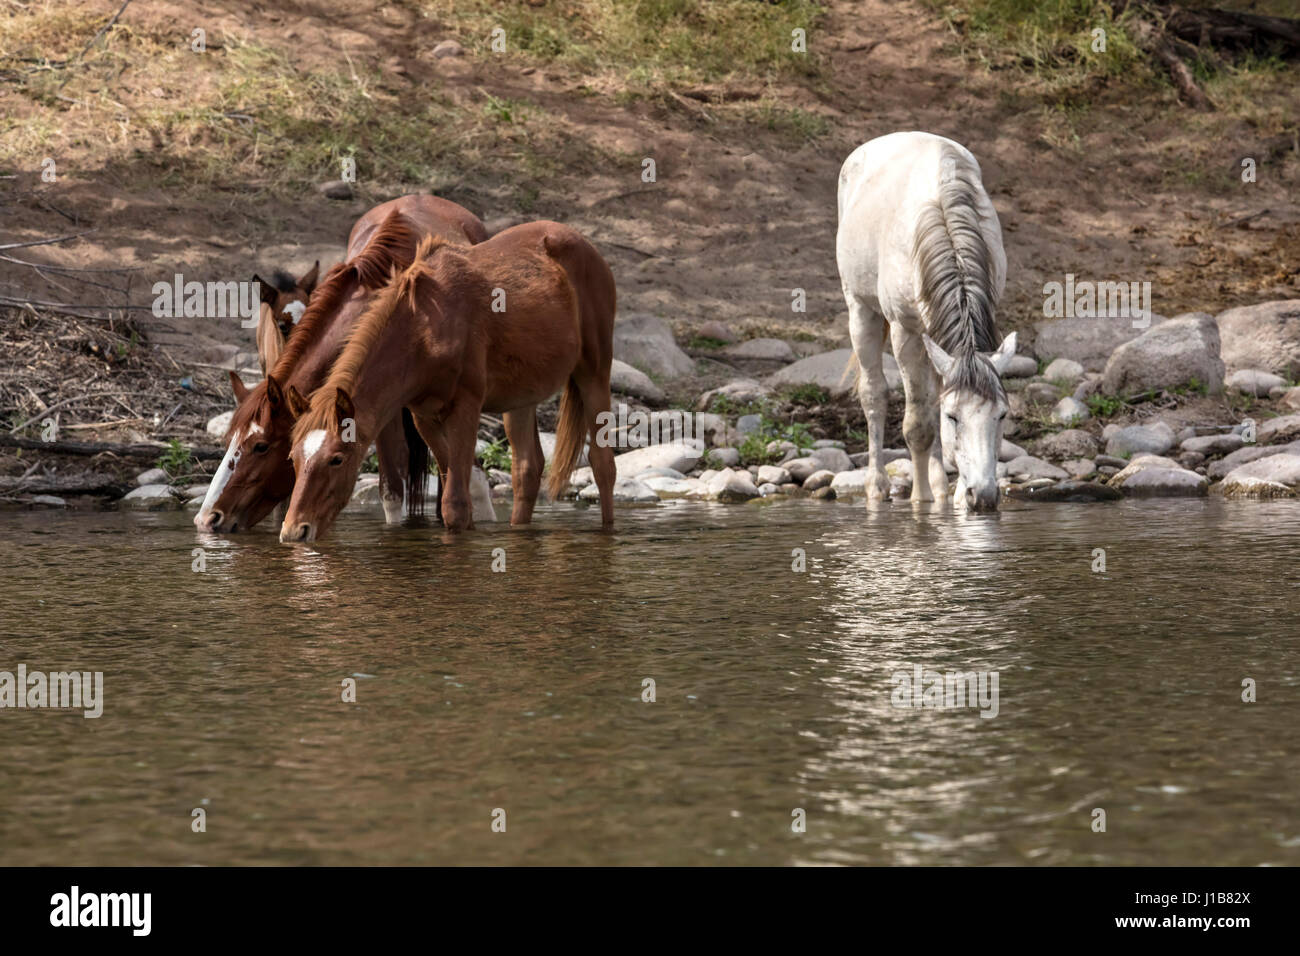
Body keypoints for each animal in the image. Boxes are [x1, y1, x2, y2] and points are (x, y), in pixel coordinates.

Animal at [282, 219, 616, 541]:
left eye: (336, 459)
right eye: (292, 458)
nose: (295, 531)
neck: (425, 328)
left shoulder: (466, 406)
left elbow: (454, 504)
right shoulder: (425, 415)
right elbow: (459, 498)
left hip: (594, 372)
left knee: (602, 465)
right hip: (522, 396)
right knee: (527, 469)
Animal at [837, 132, 1019, 515]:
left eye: (1001, 416)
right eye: (953, 417)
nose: (983, 496)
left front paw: (953, 495)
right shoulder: (905, 331)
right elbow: (919, 424)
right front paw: (921, 501)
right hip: (860, 310)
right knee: (874, 394)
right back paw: (877, 487)